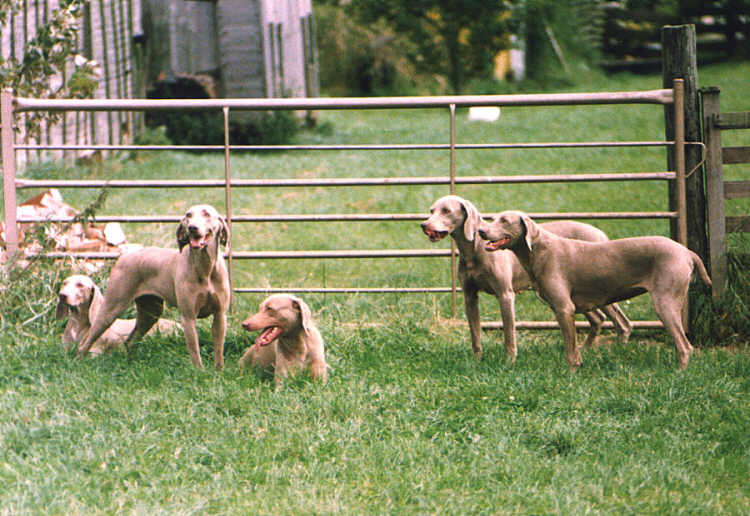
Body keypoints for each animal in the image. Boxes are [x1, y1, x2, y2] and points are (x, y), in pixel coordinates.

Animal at [76, 204, 231, 368]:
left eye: (206, 214)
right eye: (188, 215)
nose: (192, 227)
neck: (205, 268)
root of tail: (123, 256)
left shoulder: (220, 315)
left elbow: (219, 350)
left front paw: (218, 371)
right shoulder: (188, 317)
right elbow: (195, 351)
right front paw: (199, 371)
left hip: (150, 313)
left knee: (129, 341)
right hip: (111, 308)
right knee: (86, 342)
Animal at [420, 195, 632, 362]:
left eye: (446, 211)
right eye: (431, 210)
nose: (424, 225)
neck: (475, 249)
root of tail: (600, 233)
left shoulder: (505, 295)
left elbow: (509, 334)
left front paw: (509, 361)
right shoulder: (469, 296)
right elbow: (475, 334)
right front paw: (476, 360)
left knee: (622, 323)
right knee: (598, 319)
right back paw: (586, 350)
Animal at [478, 210, 712, 370]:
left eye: (505, 220)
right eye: (493, 218)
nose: (481, 231)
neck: (539, 250)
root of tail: (687, 252)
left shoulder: (565, 308)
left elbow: (571, 350)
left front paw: (572, 374)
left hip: (665, 302)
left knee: (685, 346)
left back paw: (679, 373)